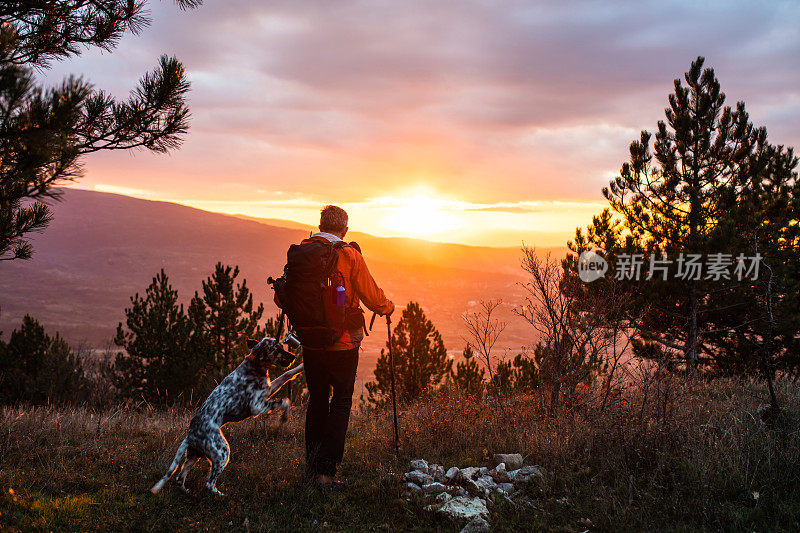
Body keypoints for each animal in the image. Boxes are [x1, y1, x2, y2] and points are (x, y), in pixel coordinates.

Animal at [149, 336, 304, 494]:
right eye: (277, 348)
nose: (294, 356)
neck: (254, 365)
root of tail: (190, 435)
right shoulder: (257, 406)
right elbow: (284, 401)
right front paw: (285, 416)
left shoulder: (268, 390)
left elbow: (286, 374)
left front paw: (301, 366)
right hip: (222, 452)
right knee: (209, 483)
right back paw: (220, 495)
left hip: (194, 456)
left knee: (179, 478)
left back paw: (187, 491)